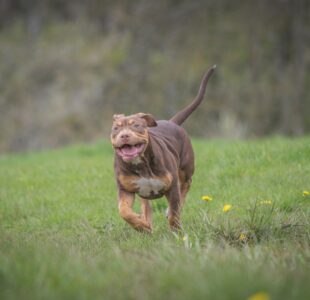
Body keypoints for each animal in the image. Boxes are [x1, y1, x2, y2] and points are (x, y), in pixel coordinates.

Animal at [111, 65, 216, 232]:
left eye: (137, 125)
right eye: (116, 128)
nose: (124, 135)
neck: (141, 164)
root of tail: (172, 122)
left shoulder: (171, 187)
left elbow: (174, 212)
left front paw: (176, 232)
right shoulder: (126, 189)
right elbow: (124, 211)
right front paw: (141, 226)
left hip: (186, 169)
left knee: (185, 187)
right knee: (146, 205)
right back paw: (146, 221)